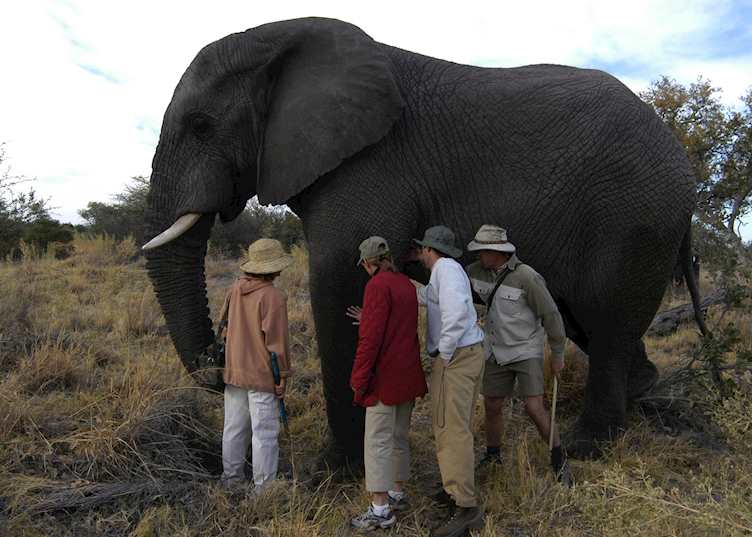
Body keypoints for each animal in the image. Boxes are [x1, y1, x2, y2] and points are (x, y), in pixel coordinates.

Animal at [142, 17, 707, 465]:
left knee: (605, 320)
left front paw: (333, 474)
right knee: (582, 318)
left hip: (632, 217)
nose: (220, 362)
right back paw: (645, 397)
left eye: (201, 125)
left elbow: (340, 280)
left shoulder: (370, 164)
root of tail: (684, 166)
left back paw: (589, 446)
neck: (281, 42)